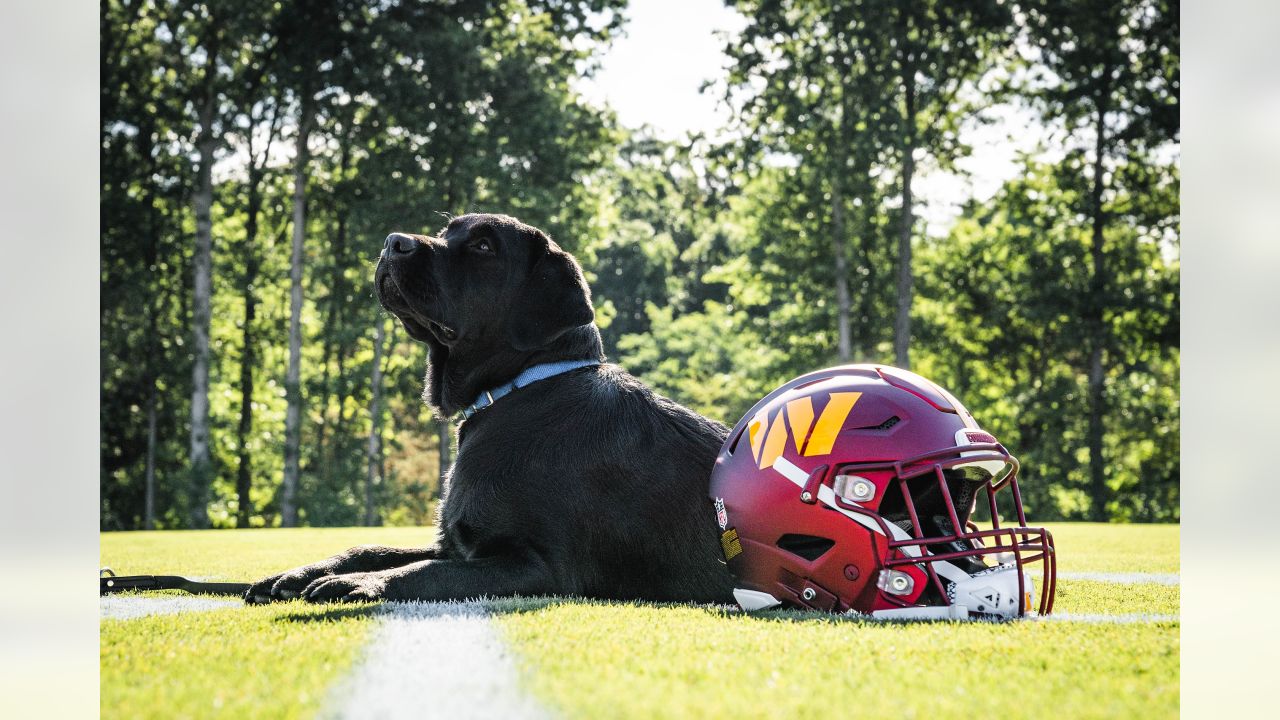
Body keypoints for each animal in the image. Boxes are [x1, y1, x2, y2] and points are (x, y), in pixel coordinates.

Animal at [244, 211, 737, 599]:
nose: (392, 242)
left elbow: (427, 570)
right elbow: (372, 548)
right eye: (446, 231)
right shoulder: (457, 543)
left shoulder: (537, 565)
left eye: (484, 245)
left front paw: (361, 583)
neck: (518, 389)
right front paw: (299, 572)